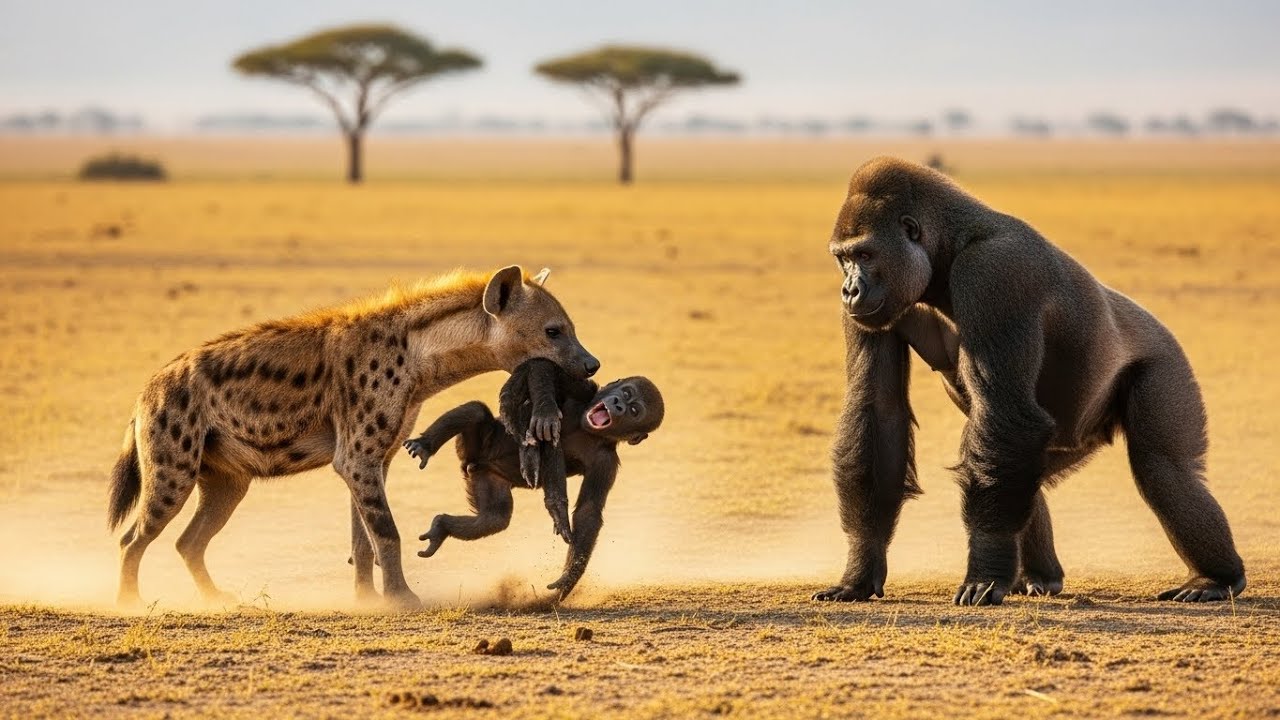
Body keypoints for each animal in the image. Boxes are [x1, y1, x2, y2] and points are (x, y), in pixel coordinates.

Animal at [403, 370, 664, 599]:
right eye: (626, 392)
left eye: (633, 410)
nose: (618, 404)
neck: (588, 431)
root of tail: (473, 462)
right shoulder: (584, 391)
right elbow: (545, 372)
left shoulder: (605, 462)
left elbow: (588, 512)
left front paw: (570, 576)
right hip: (473, 446)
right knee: (476, 412)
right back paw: (426, 445)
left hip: (485, 475)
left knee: (494, 517)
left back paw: (442, 527)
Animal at [813, 156, 1246, 606]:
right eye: (844, 259)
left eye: (865, 254)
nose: (849, 290)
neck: (946, 249)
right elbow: (880, 411)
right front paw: (861, 567)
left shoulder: (995, 273)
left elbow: (1006, 412)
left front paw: (985, 569)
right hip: (1066, 445)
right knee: (1019, 468)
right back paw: (1039, 575)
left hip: (1164, 358)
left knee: (1163, 469)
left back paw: (1216, 577)